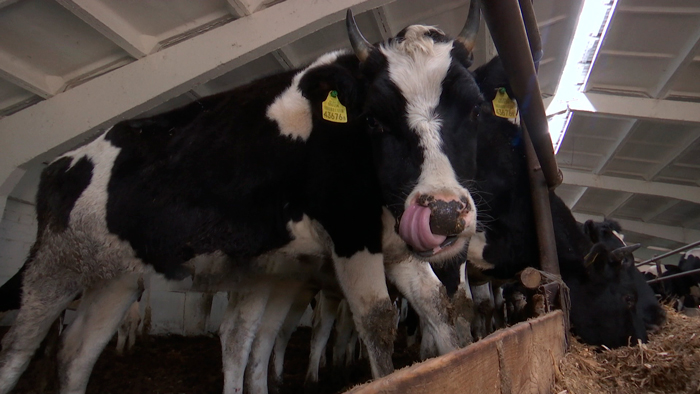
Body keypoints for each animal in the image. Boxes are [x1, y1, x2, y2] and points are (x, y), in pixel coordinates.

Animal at [0, 3, 486, 394]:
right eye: (373, 119)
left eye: (476, 108)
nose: (443, 212)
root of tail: (59, 163)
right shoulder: (349, 235)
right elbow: (378, 321)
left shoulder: (396, 247)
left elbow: (441, 311)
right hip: (54, 265)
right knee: (16, 349)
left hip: (115, 278)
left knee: (76, 353)